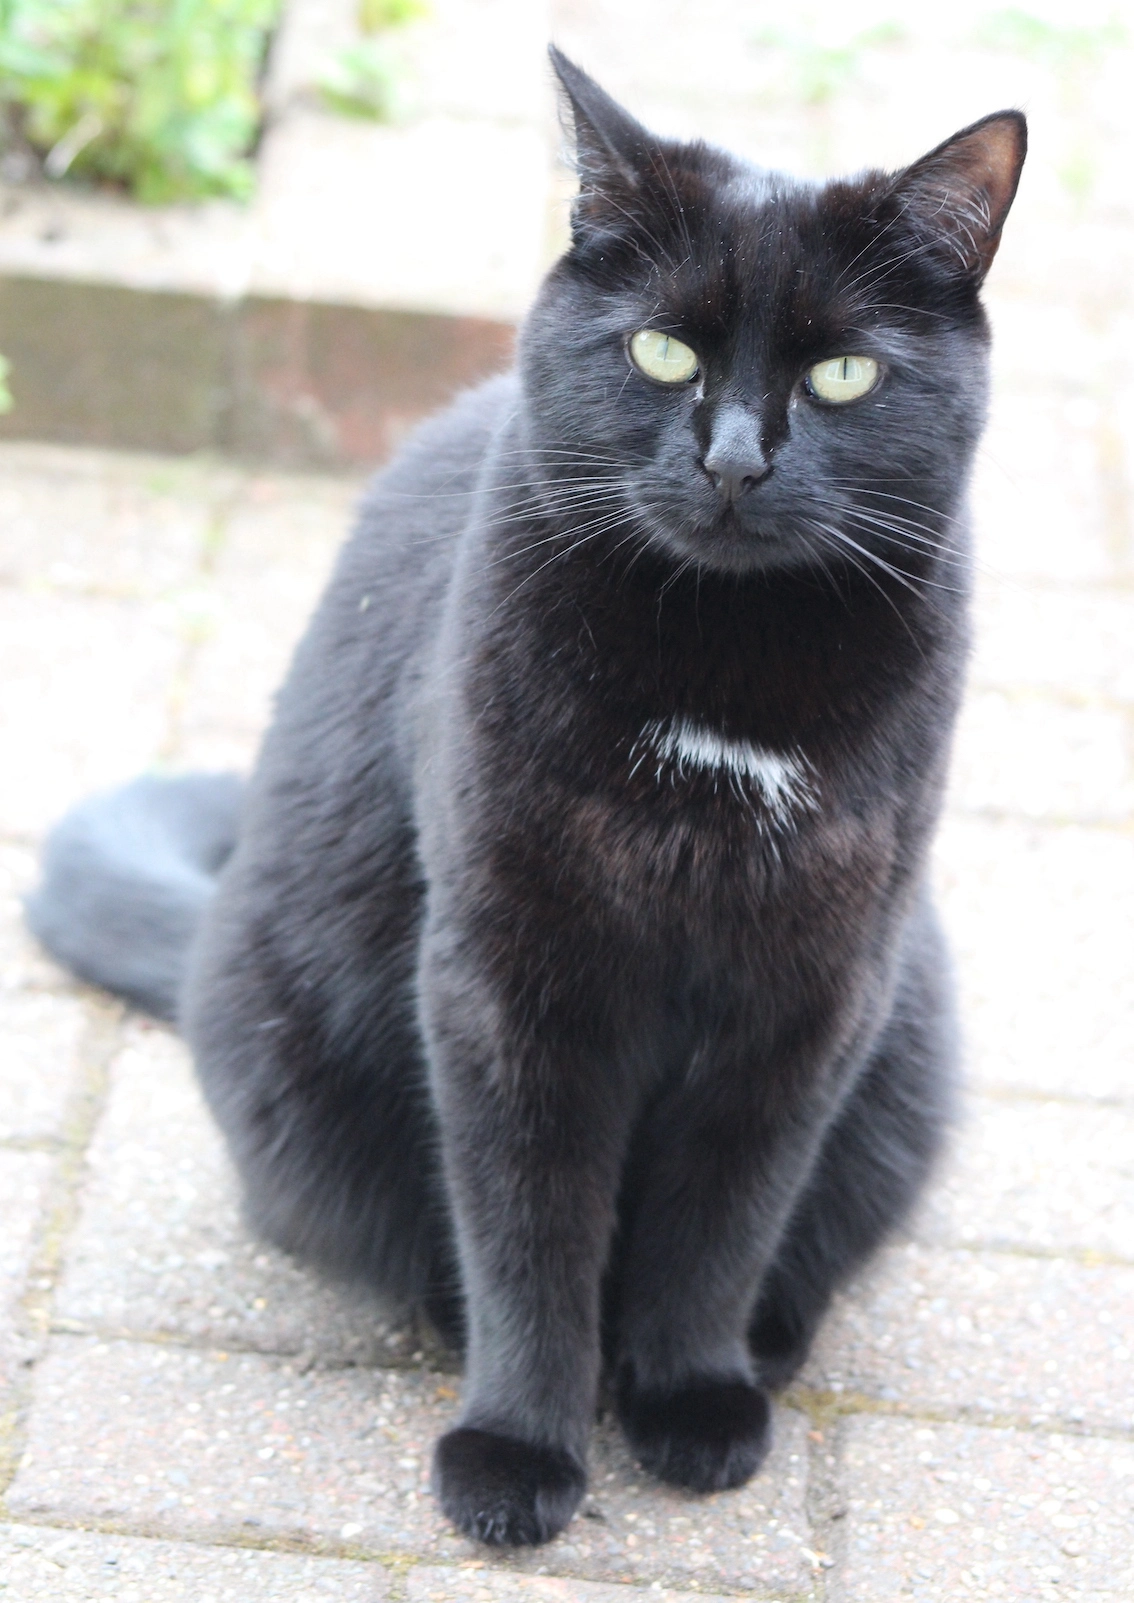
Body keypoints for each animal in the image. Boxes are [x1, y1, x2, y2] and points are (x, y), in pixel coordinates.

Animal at [26, 46, 1026, 1551]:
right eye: (662, 351)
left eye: (845, 372)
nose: (735, 461)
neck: (722, 682)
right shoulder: (508, 974)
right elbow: (528, 1222)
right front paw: (515, 1448)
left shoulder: (807, 990)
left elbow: (721, 1218)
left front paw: (689, 1394)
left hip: (906, 1037)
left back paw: (762, 1350)